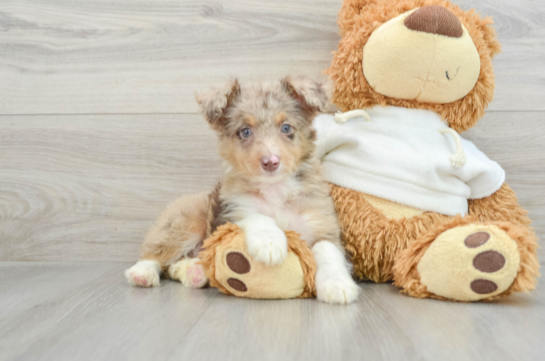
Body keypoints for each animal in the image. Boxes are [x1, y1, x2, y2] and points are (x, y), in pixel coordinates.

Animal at [125, 76, 360, 304]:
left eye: (286, 128)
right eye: (245, 131)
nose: (270, 162)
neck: (274, 188)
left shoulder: (322, 223)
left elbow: (327, 250)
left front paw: (337, 285)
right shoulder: (231, 214)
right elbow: (258, 216)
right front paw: (269, 242)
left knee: (174, 266)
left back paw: (194, 272)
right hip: (187, 221)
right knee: (156, 253)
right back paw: (143, 272)